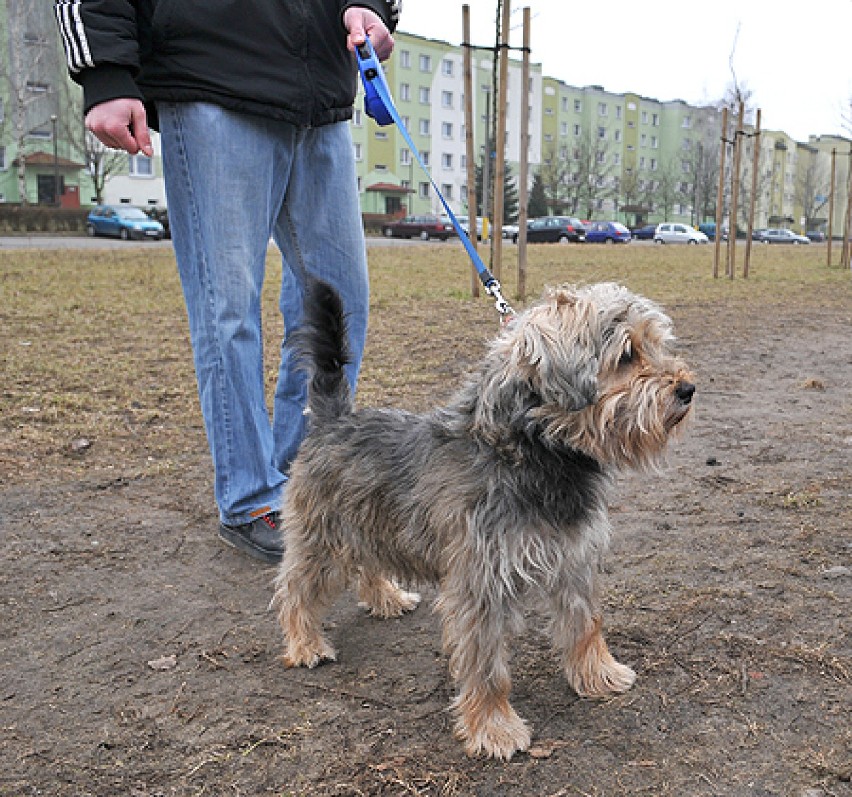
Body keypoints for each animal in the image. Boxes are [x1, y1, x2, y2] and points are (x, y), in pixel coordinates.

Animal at [270, 280, 696, 760]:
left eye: (656, 344)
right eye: (626, 355)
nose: (687, 389)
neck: (531, 451)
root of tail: (333, 418)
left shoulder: (574, 560)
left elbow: (586, 625)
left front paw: (598, 675)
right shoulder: (482, 583)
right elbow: (488, 667)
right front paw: (494, 728)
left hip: (370, 522)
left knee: (367, 564)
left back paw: (387, 598)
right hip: (321, 540)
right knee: (294, 589)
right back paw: (305, 643)